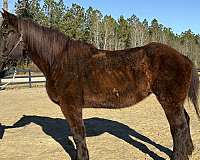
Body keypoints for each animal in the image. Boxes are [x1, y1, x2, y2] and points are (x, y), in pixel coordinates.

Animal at [0, 9, 199, 159]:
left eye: (6, 32)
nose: (1, 64)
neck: (59, 60)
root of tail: (183, 57)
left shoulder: (70, 106)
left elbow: (78, 134)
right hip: (175, 101)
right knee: (186, 121)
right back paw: (189, 150)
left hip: (169, 101)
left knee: (178, 127)